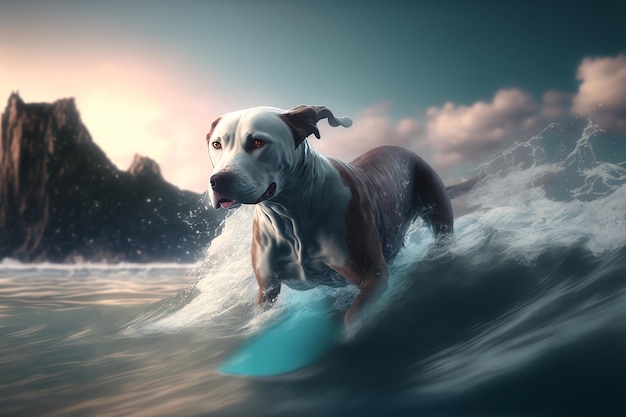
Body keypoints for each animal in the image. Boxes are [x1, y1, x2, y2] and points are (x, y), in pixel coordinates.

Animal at [207, 104, 470, 324]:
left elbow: (352, 318)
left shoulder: (373, 276)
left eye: (258, 142)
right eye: (217, 144)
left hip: (435, 206)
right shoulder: (267, 291)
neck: (288, 216)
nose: (218, 180)